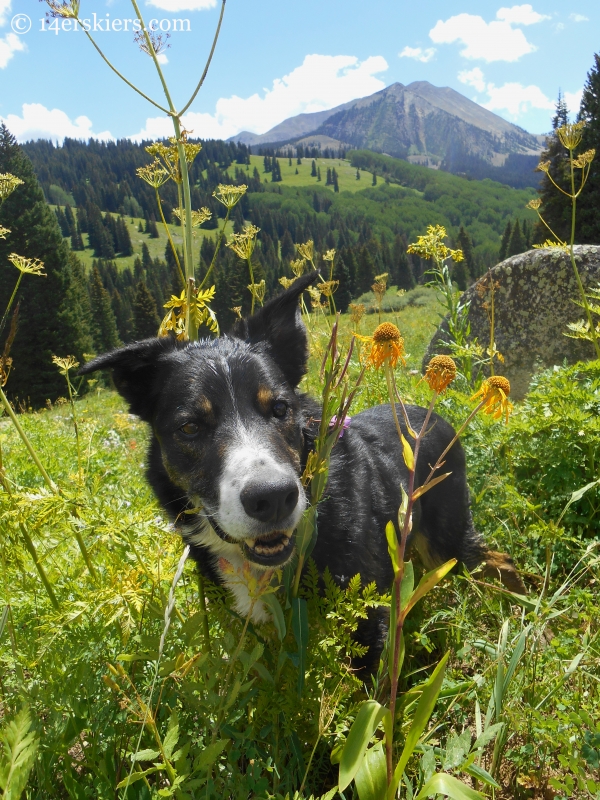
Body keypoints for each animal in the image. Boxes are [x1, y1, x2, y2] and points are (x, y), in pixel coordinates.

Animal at [81, 272, 524, 664]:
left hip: (445, 541)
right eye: (190, 427)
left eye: (280, 408)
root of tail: (434, 416)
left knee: (495, 560)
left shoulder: (367, 618)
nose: (273, 498)